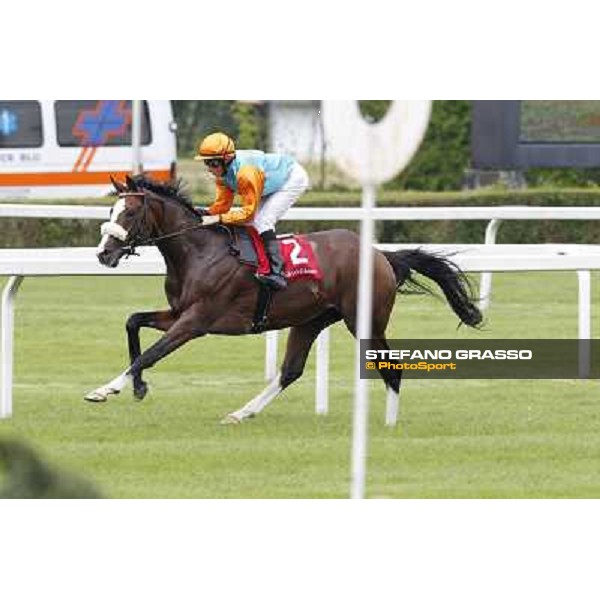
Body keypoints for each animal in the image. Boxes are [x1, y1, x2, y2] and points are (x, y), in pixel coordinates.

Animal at [85, 175, 482, 422]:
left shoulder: (196, 321)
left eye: (130, 212)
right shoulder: (178, 311)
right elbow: (133, 322)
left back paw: (389, 424)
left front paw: (107, 389)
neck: (198, 251)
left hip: (365, 321)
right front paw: (138, 387)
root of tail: (380, 255)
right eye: (110, 212)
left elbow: (153, 353)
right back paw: (241, 413)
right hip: (311, 320)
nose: (103, 254)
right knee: (290, 370)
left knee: (391, 367)